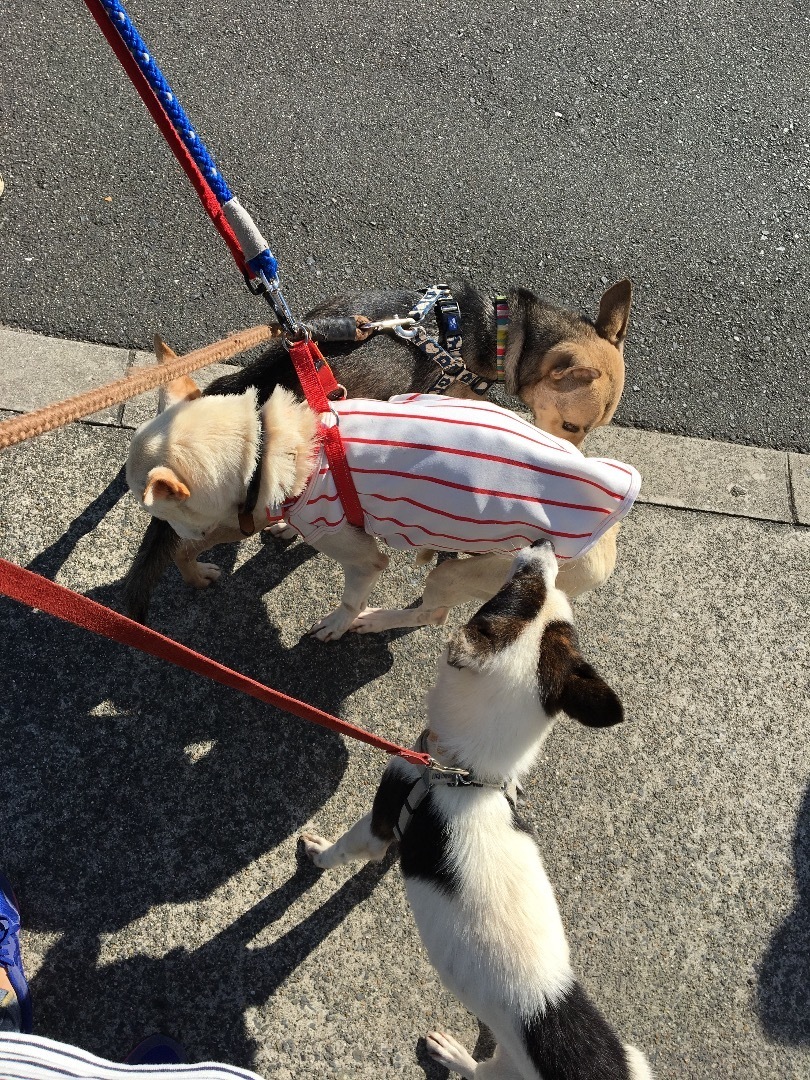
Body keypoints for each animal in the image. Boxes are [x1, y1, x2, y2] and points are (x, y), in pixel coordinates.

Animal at [302, 540, 652, 1080]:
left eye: (513, 591)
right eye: (535, 588)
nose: (545, 545)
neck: (470, 775)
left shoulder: (381, 816)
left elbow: (345, 849)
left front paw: (317, 853)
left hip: (505, 1070)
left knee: (476, 1070)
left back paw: (451, 1053)